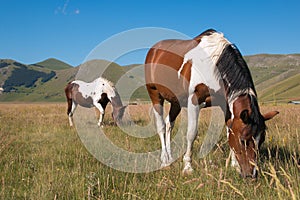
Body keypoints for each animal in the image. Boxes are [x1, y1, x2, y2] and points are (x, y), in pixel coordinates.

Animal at [145, 28, 278, 178]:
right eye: (243, 140)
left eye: (261, 140)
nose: (251, 175)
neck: (213, 64)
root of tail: (154, 50)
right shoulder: (194, 101)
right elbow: (191, 133)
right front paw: (188, 167)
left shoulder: (226, 106)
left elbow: (229, 131)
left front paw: (234, 165)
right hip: (155, 95)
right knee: (161, 126)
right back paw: (164, 160)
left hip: (176, 101)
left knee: (169, 123)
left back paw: (170, 157)